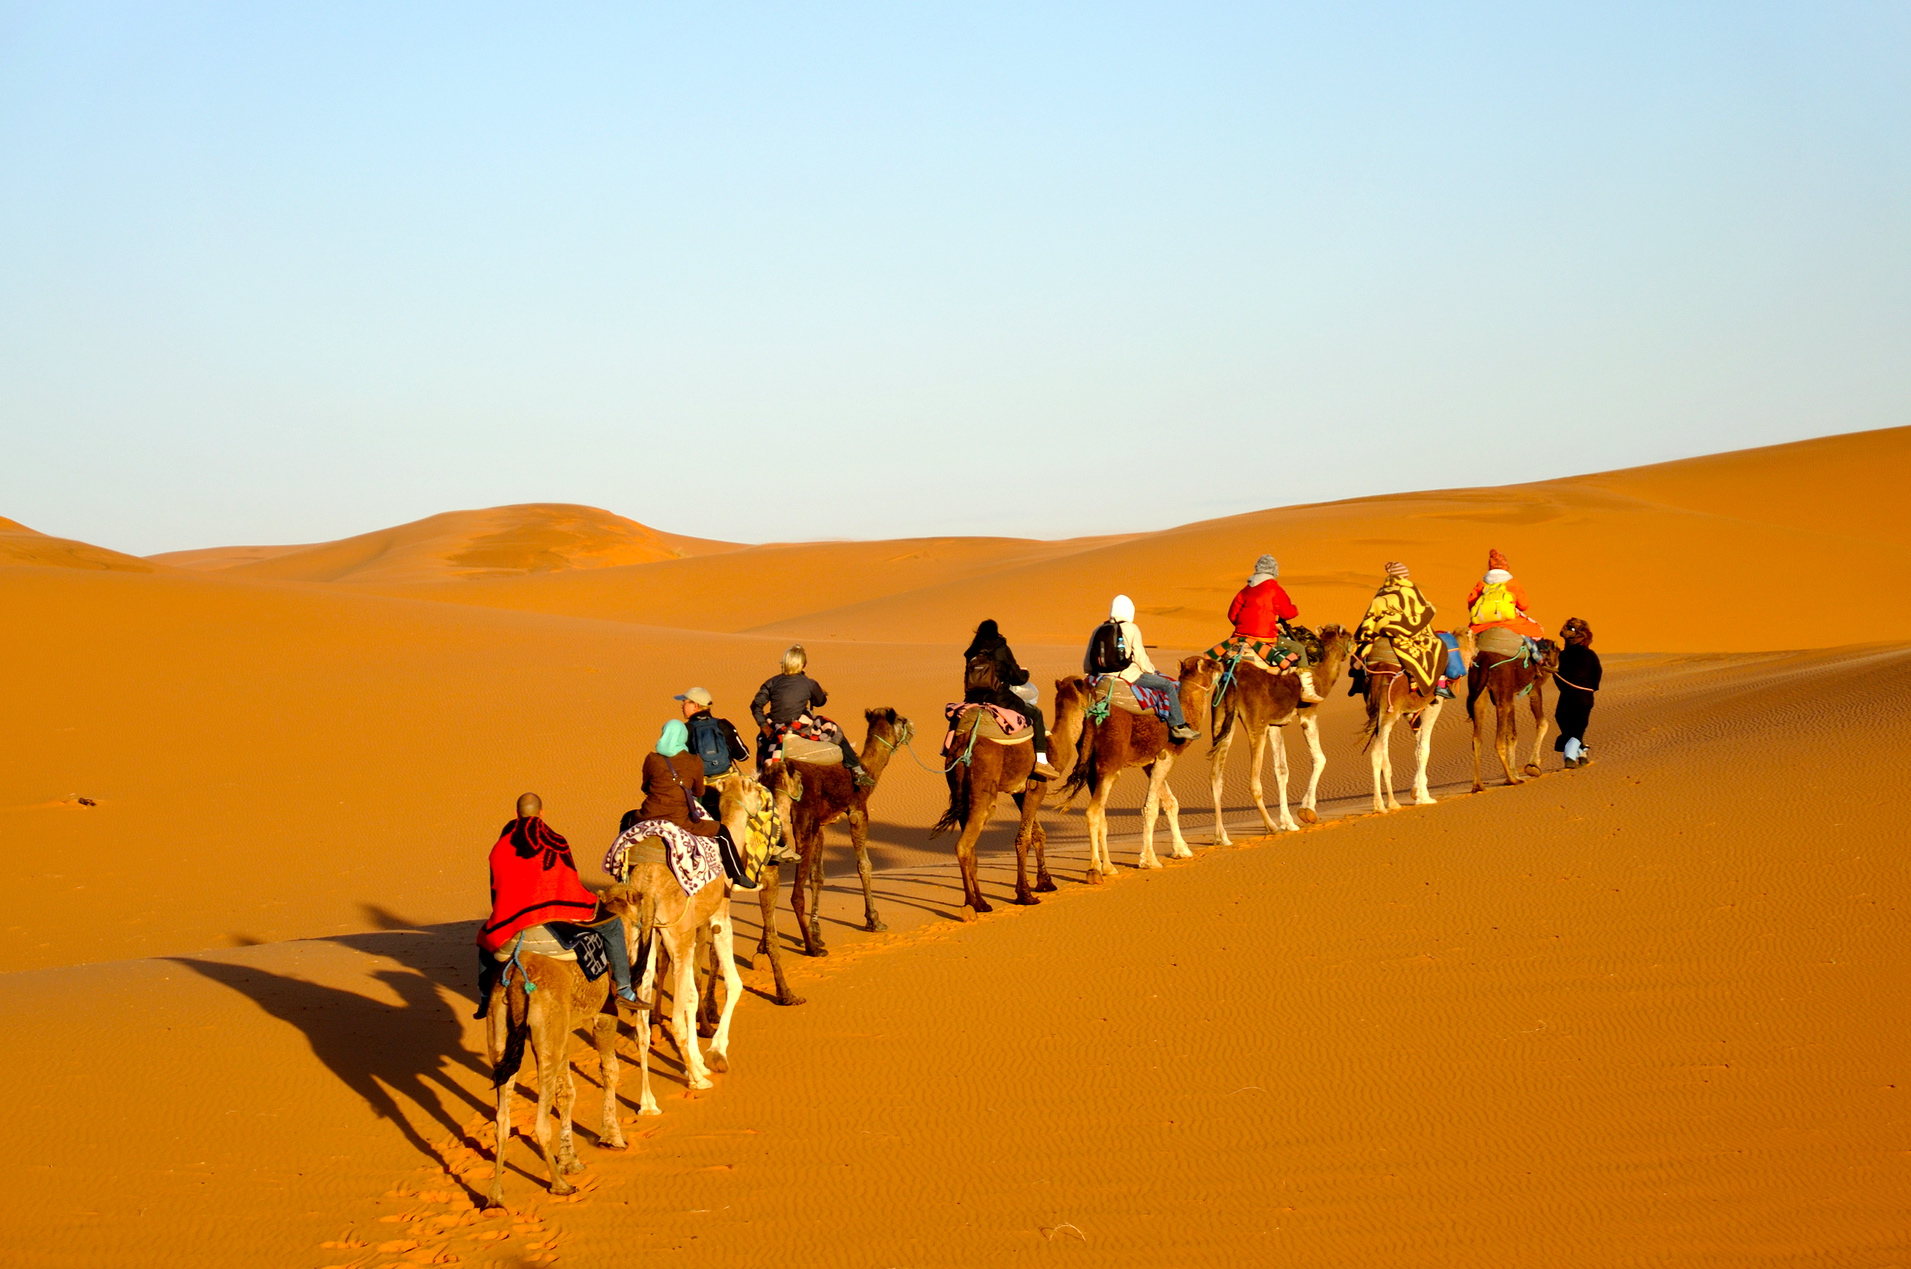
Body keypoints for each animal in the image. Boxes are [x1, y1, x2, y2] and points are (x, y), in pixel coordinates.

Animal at [756, 707, 913, 967]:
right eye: (900, 719)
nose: (912, 727)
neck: (868, 770)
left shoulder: (820, 826)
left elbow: (818, 877)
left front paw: (816, 931)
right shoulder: (857, 811)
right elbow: (864, 865)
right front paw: (874, 920)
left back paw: (764, 947)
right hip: (802, 821)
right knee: (795, 894)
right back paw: (811, 949)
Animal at [928, 714, 1054, 913]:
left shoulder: (1019, 791)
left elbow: (1037, 833)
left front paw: (1044, 883)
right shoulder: (1037, 785)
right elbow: (1025, 837)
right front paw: (1026, 895)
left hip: (961, 796)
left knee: (971, 849)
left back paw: (980, 902)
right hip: (983, 792)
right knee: (964, 845)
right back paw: (972, 904)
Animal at [1054, 657, 1215, 879]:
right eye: (1209, 664)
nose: (1221, 663)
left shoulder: (1149, 761)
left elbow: (1170, 802)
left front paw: (1182, 850)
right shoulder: (1167, 754)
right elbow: (1151, 807)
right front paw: (1149, 861)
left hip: (1093, 766)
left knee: (1101, 812)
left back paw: (1109, 867)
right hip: (1110, 763)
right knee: (1093, 811)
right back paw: (1094, 870)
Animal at [1207, 623, 1360, 840]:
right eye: (1348, 635)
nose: (1357, 643)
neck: (1320, 673)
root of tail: (1232, 680)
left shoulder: (1275, 724)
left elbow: (1281, 770)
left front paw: (1289, 822)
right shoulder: (1308, 713)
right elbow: (1319, 758)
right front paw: (1306, 812)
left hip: (1221, 718)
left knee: (1215, 777)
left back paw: (1222, 837)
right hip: (1256, 723)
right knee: (1253, 781)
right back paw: (1271, 827)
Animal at [1467, 630, 1559, 787]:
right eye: (1558, 652)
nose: (1556, 666)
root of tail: (1484, 661)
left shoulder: (1511, 695)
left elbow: (1512, 735)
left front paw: (1515, 772)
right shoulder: (1534, 687)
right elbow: (1543, 724)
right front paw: (1532, 767)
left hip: (1479, 692)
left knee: (1476, 739)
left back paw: (1478, 785)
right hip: (1502, 692)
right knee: (1498, 741)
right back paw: (1512, 780)